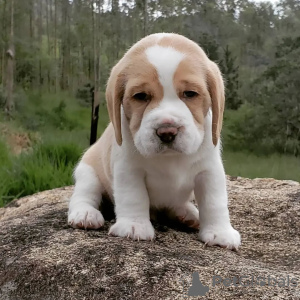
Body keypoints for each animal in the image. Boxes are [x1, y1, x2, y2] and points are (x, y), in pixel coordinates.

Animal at [68, 32, 241, 248]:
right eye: (141, 96)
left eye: (190, 94)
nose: (167, 132)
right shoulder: (128, 170)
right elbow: (134, 196)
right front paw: (134, 226)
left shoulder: (210, 171)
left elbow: (214, 201)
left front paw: (220, 232)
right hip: (88, 172)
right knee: (84, 195)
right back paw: (85, 214)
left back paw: (188, 213)